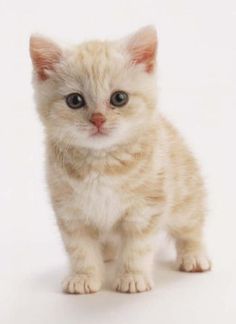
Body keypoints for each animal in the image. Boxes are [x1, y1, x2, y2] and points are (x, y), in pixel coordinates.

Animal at [30, 25, 212, 294]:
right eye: (74, 100)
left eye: (119, 98)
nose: (98, 119)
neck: (101, 162)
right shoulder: (70, 212)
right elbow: (80, 249)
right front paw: (84, 276)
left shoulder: (146, 209)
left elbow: (137, 248)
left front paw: (132, 276)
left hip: (185, 198)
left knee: (191, 227)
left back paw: (194, 256)